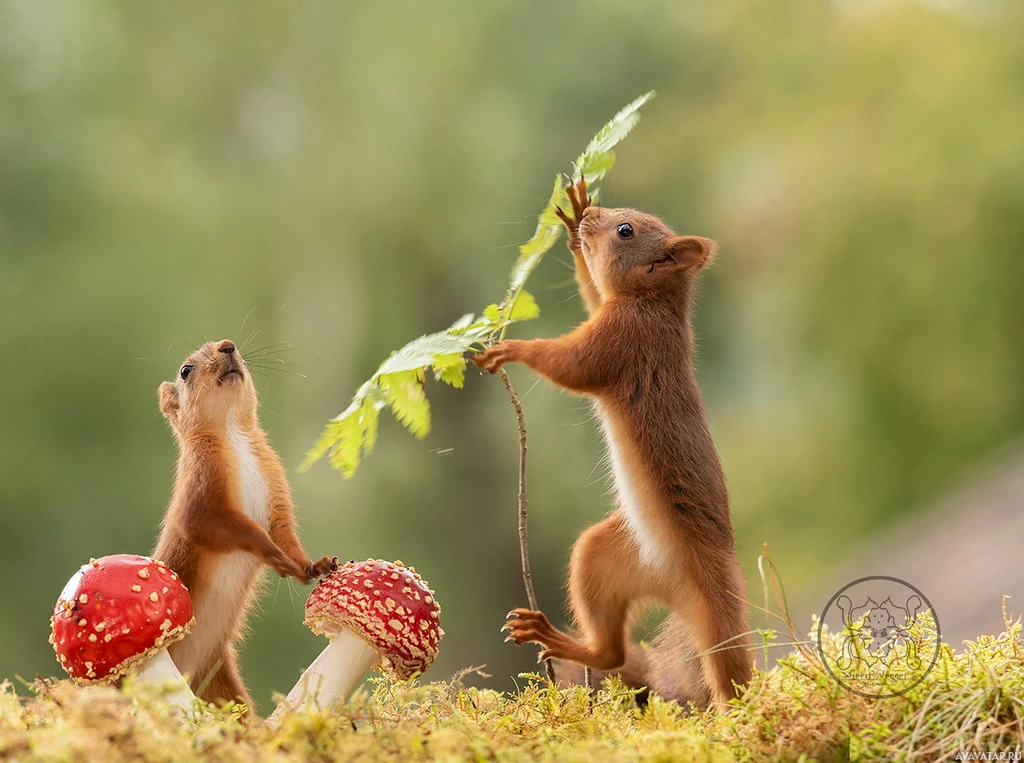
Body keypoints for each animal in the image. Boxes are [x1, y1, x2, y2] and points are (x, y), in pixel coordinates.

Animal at [153, 340, 335, 708]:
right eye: (185, 370)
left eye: (230, 346)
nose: (228, 346)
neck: (232, 432)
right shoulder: (199, 500)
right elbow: (239, 531)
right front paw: (275, 558)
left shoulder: (275, 489)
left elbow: (286, 534)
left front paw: (311, 565)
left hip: (220, 685)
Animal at [473, 178, 753, 708]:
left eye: (626, 231)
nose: (592, 218)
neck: (655, 303)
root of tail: (674, 593)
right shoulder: (609, 312)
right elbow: (592, 292)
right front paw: (573, 219)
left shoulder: (621, 342)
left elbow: (572, 365)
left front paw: (514, 348)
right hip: (603, 557)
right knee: (611, 651)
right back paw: (555, 637)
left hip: (714, 602)